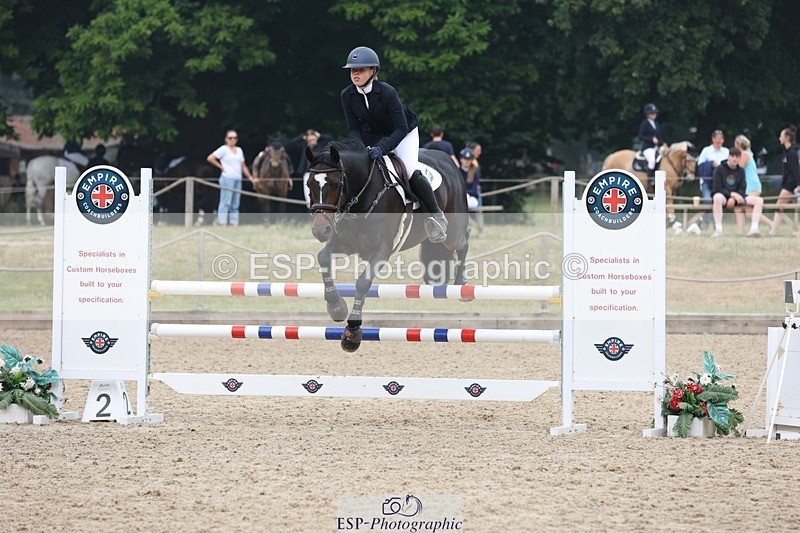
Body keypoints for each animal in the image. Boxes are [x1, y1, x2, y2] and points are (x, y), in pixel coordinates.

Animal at [306, 137, 470, 353]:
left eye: (334, 184)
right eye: (309, 184)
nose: (320, 230)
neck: (362, 195)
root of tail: (448, 160)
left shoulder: (382, 249)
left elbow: (363, 282)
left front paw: (352, 333)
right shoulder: (343, 243)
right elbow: (323, 258)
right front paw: (336, 307)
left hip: (452, 233)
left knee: (463, 242)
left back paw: (462, 284)